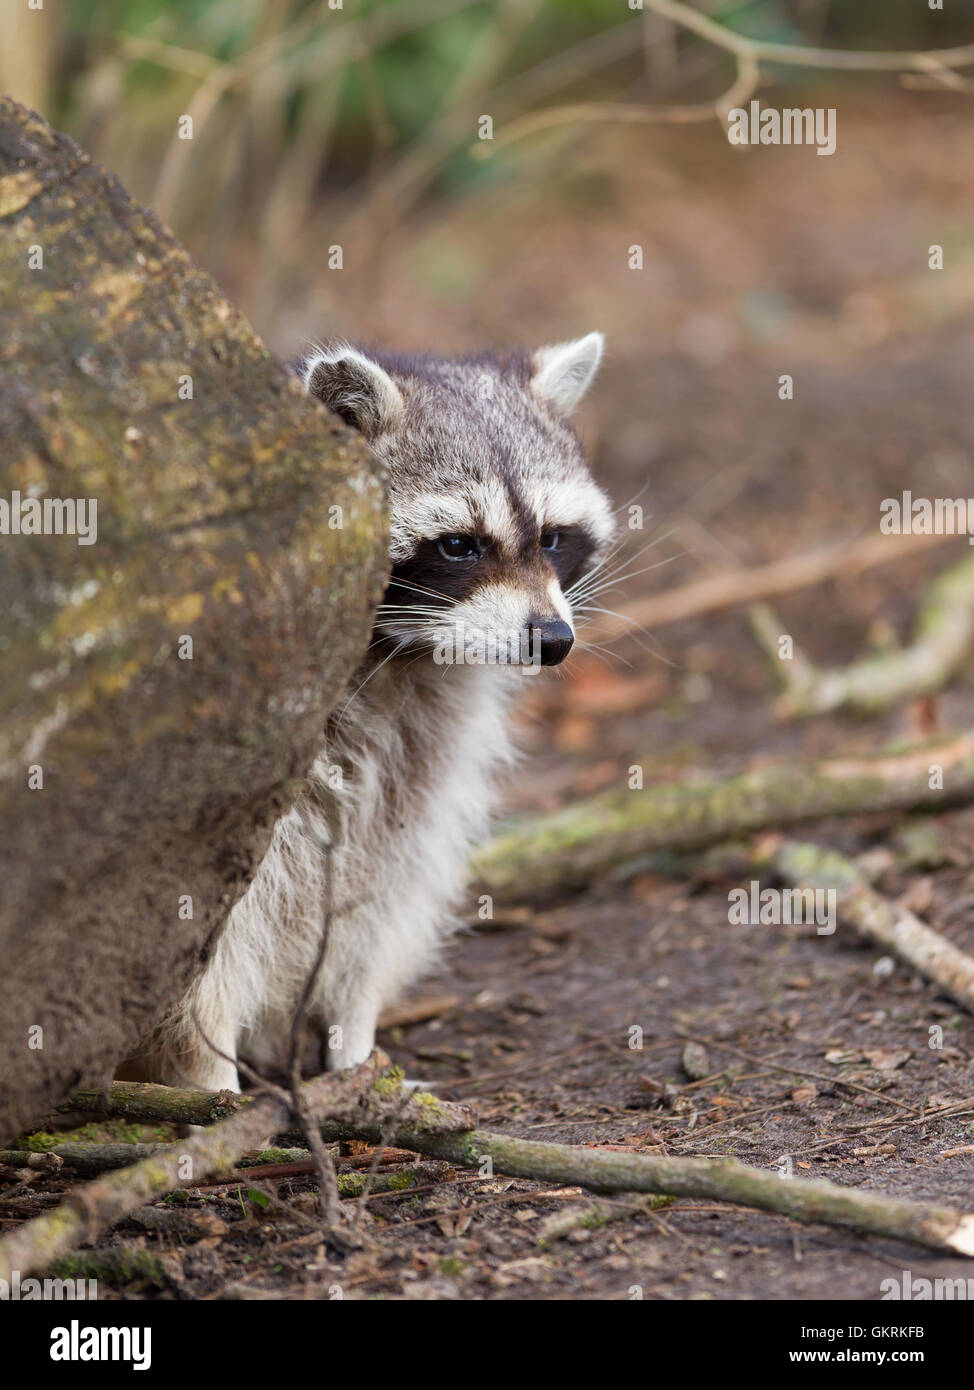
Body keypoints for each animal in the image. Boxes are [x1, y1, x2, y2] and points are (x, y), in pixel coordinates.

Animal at [152, 332, 615, 1090]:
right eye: (458, 544)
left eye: (551, 537)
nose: (552, 640)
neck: (396, 655)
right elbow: (199, 937)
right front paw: (208, 1074)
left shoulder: (423, 754)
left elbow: (381, 890)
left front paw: (355, 1044)